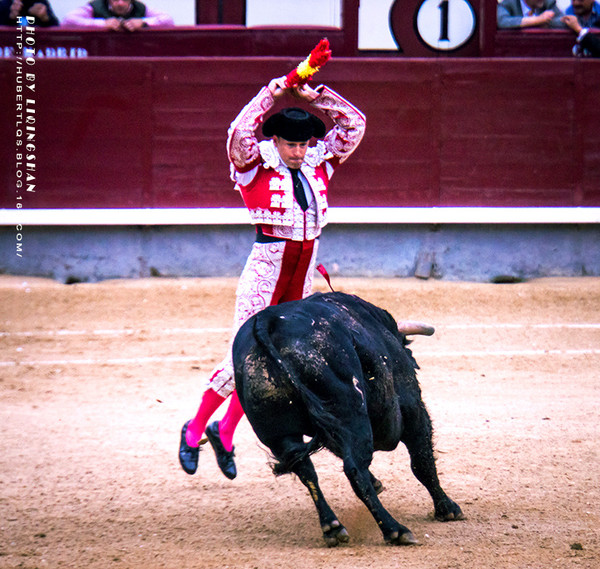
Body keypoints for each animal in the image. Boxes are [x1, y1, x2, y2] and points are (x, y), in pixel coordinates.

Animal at [231, 292, 464, 544]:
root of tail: (269, 321)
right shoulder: (412, 407)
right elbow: (422, 461)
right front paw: (447, 508)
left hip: (279, 435)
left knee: (306, 469)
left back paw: (332, 527)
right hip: (351, 415)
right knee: (354, 469)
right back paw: (395, 530)